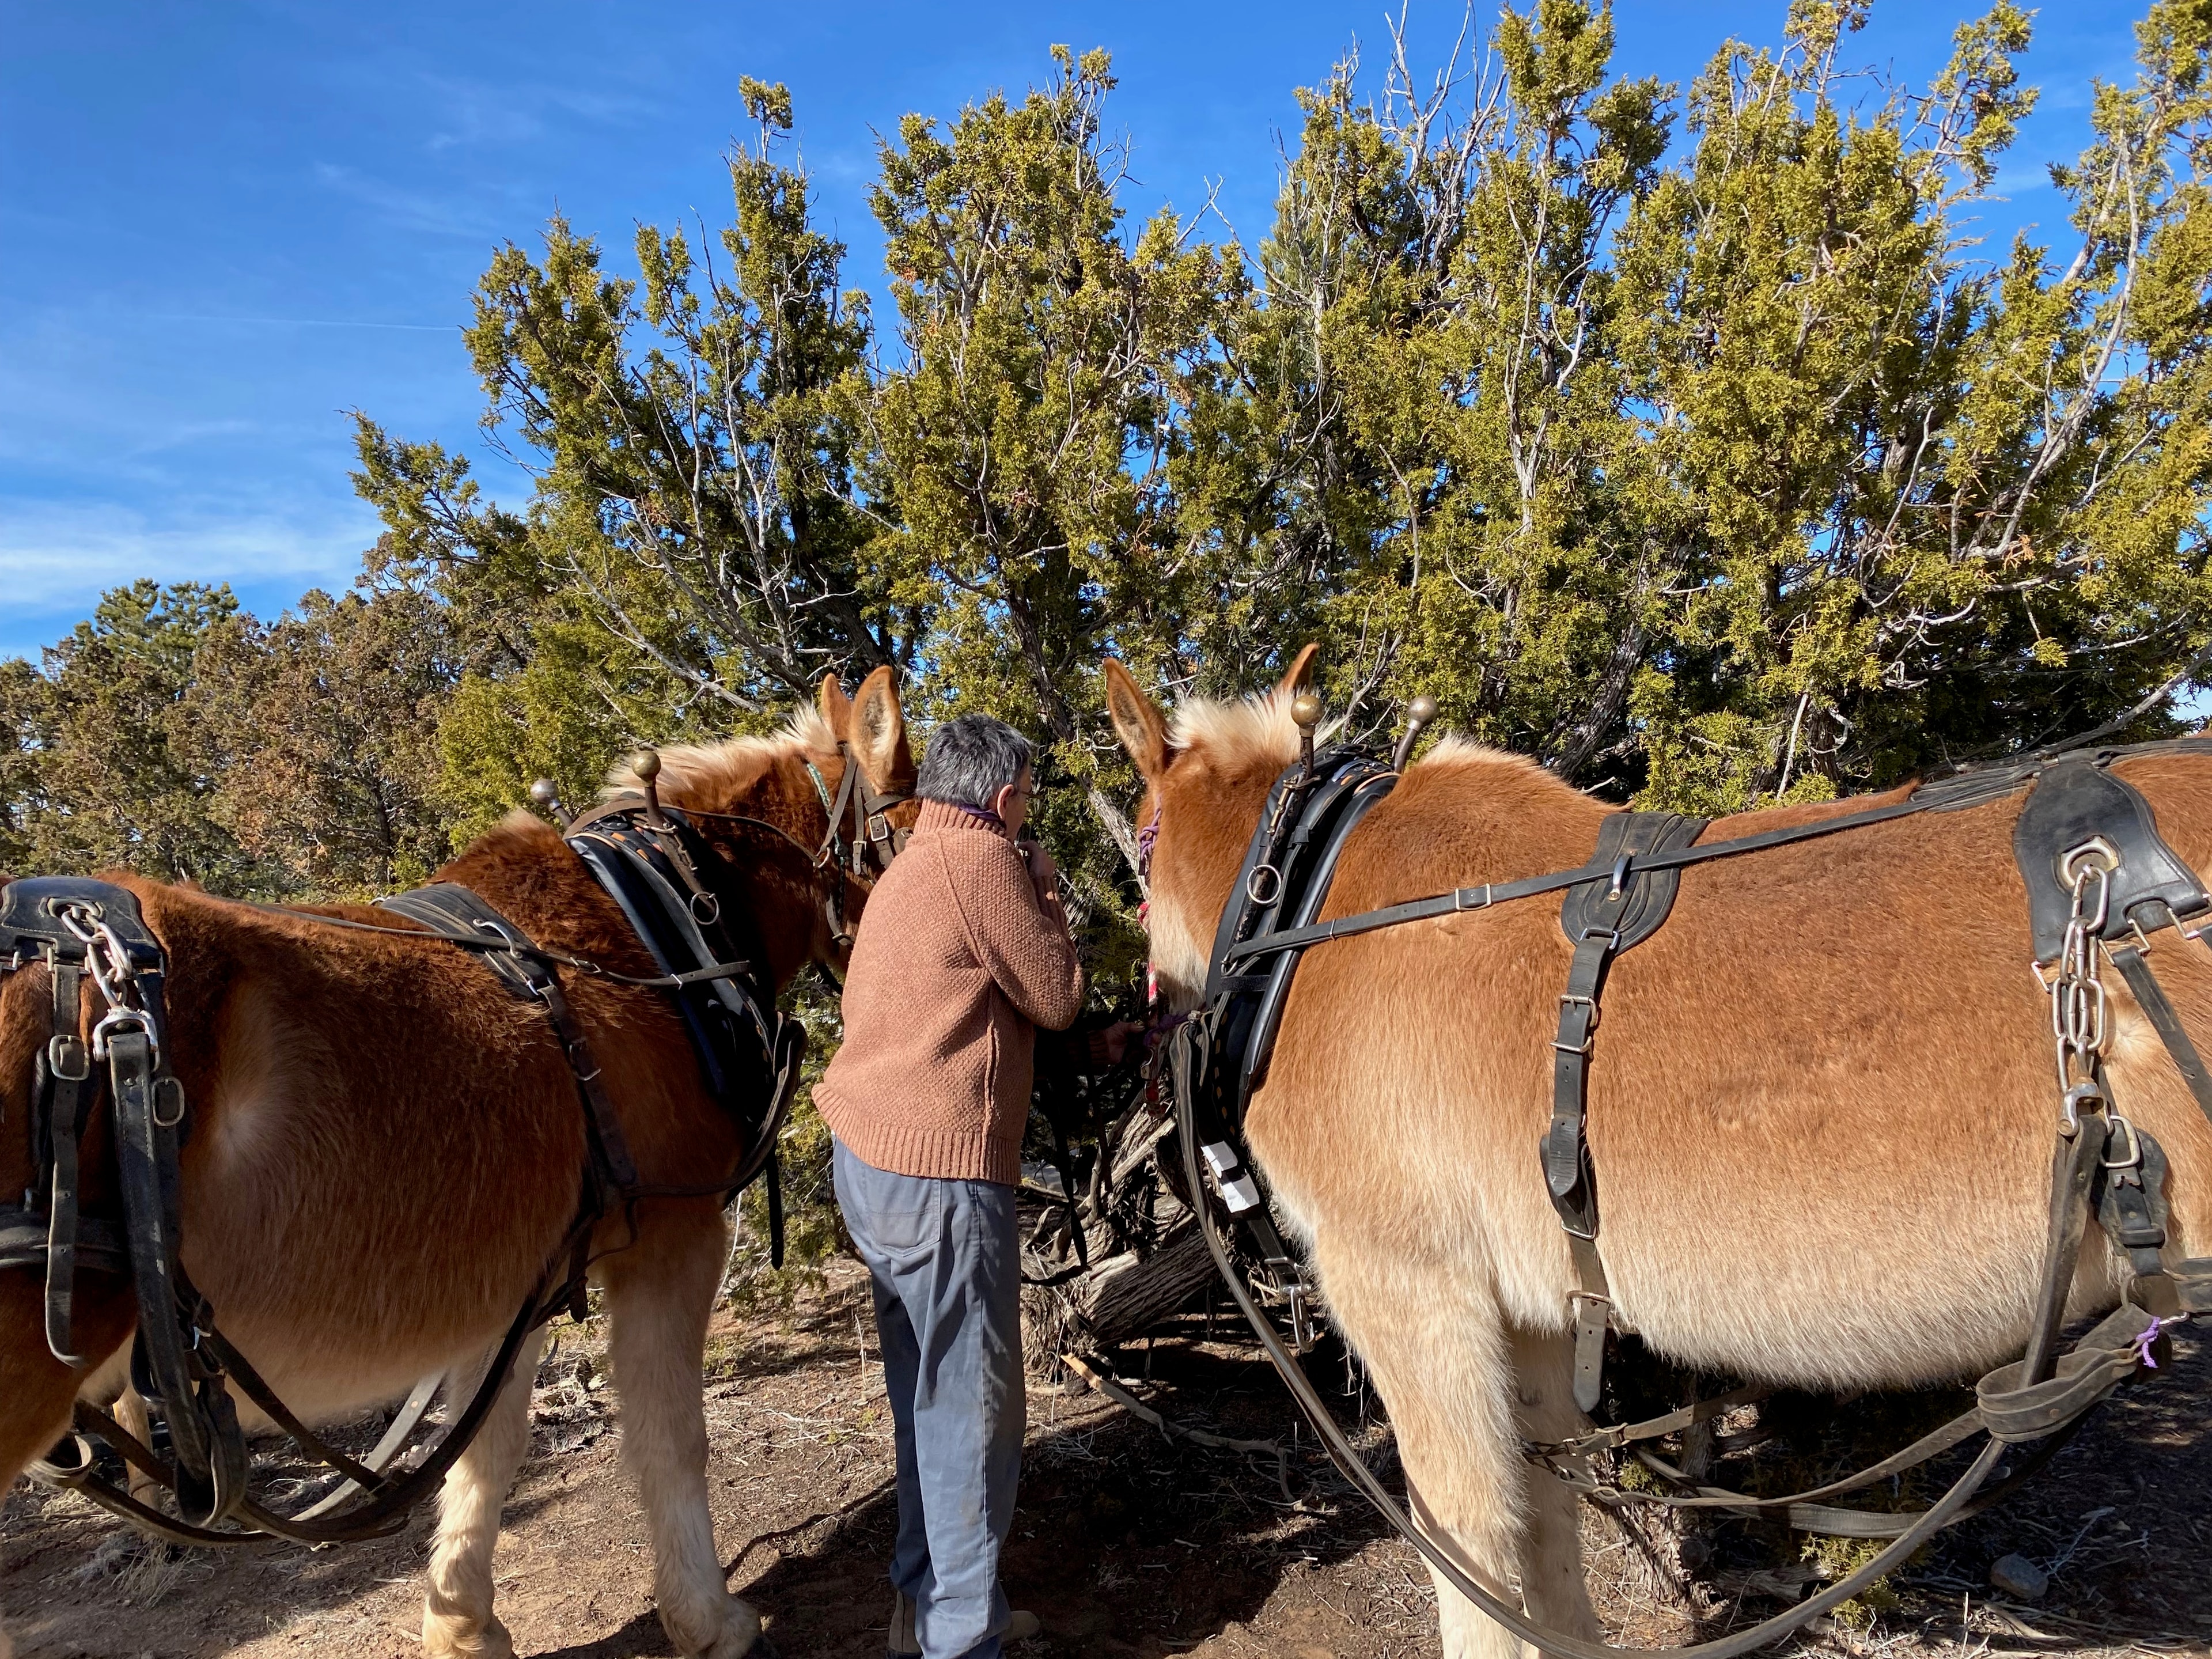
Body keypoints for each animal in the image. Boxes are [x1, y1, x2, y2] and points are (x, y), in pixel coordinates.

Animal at [0, 667, 917, 1659]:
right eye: (919, 829)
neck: (648, 927)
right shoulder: (671, 1240)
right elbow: (670, 1435)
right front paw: (707, 1620)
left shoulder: (513, 1281)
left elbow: (486, 1446)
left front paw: (461, 1621)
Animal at [1104, 647, 2212, 1659]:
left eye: (1142, 847)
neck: (1313, 912)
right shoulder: (1530, 1311)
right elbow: (1546, 1532)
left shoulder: (1406, 1282)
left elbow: (1472, 1551)